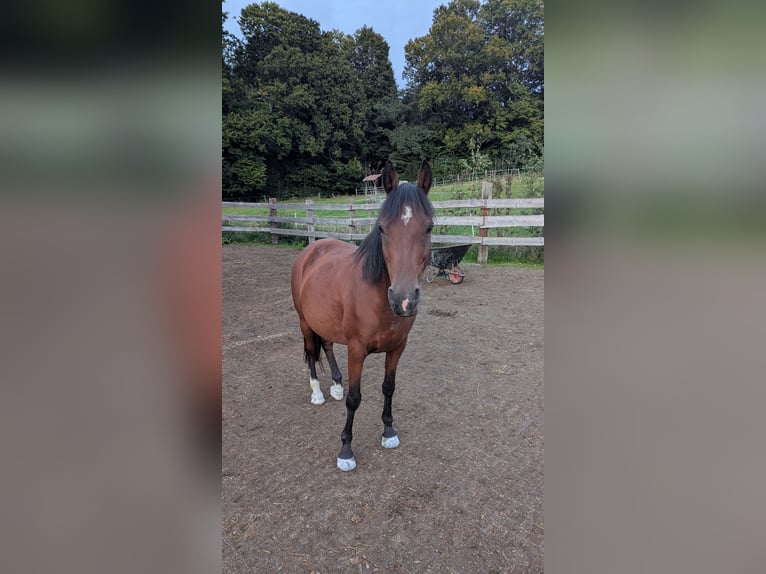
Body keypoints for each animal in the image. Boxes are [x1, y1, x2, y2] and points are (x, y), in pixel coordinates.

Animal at [290, 160, 434, 471]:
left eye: (429, 227)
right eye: (382, 228)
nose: (404, 300)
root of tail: (313, 247)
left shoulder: (397, 348)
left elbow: (389, 387)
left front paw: (389, 432)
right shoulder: (356, 350)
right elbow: (355, 399)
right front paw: (346, 450)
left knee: (327, 345)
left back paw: (335, 385)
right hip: (305, 322)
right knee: (311, 351)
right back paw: (318, 392)